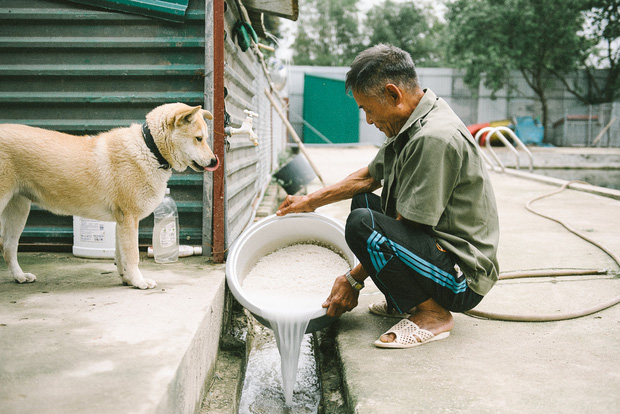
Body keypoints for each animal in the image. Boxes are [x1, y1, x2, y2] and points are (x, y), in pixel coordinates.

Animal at [0, 102, 218, 290]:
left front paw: (128, 280)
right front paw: (139, 282)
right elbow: (132, 255)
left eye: (205, 138)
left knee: (8, 247)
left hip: (19, 210)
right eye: (199, 138)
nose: (215, 161)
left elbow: (121, 257)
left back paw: (20, 276)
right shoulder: (129, 219)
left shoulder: (121, 222)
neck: (149, 148)